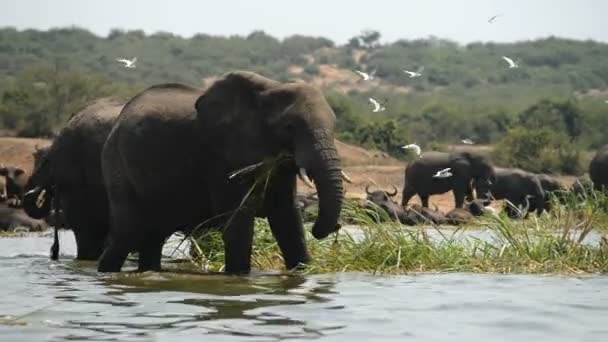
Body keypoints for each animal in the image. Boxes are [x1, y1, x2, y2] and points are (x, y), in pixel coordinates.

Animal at [99, 71, 346, 274]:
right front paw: (239, 277)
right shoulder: (219, 157)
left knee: (152, 235)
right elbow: (238, 219)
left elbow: (287, 217)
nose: (335, 228)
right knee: (127, 232)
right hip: (117, 163)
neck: (269, 89)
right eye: (289, 127)